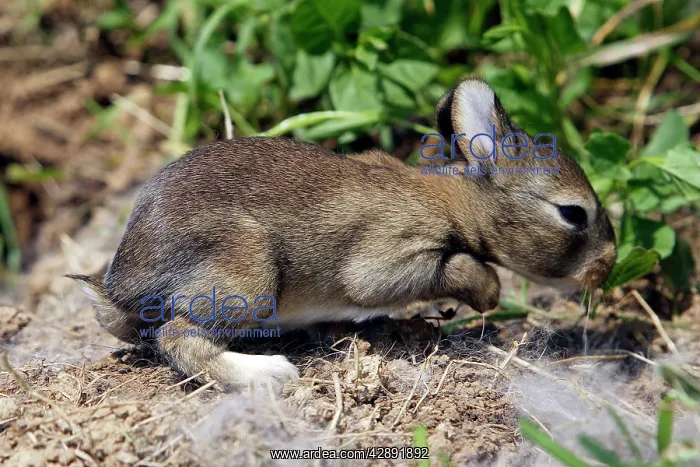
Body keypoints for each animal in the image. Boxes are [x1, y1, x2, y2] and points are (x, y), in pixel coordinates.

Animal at [68, 78, 617, 391]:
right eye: (573, 214)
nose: (607, 264)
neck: (456, 205)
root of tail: (117, 290)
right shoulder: (393, 257)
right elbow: (453, 269)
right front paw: (489, 295)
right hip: (247, 276)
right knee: (178, 336)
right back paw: (270, 374)